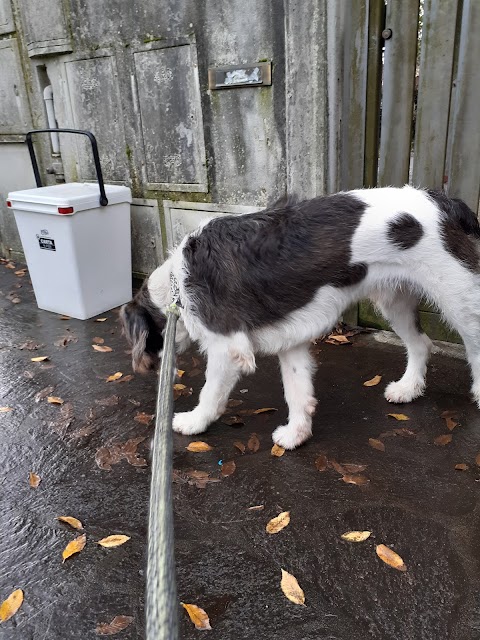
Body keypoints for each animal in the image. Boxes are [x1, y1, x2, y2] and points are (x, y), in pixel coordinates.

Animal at [121, 185, 480, 450]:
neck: (176, 285)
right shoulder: (290, 343)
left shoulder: (228, 348)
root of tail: (442, 200)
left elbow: (211, 393)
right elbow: (297, 393)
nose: (150, 370)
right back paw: (408, 388)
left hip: (459, 299)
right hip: (395, 300)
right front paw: (296, 434)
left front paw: (194, 422)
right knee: (420, 343)